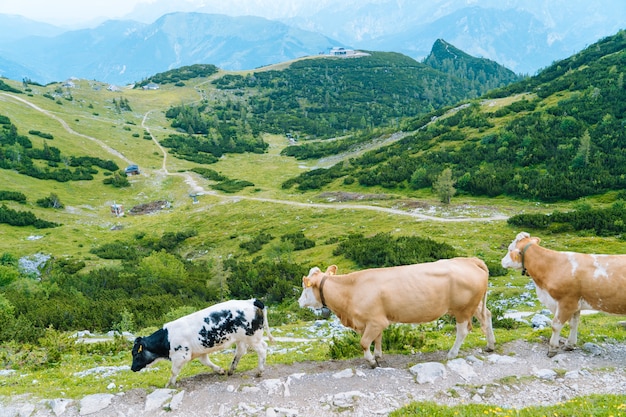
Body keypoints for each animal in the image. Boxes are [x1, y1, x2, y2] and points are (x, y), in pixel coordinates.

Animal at [130, 298, 272, 386]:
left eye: (136, 354)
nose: (132, 368)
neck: (167, 339)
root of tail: (251, 301)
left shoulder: (181, 356)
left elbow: (174, 371)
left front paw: (169, 384)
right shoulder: (200, 352)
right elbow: (206, 362)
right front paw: (220, 370)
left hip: (252, 336)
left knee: (262, 348)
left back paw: (259, 371)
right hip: (241, 338)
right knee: (241, 351)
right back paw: (231, 370)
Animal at [294, 256, 494, 368]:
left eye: (305, 287)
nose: (299, 301)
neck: (350, 291)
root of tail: (470, 260)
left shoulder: (376, 321)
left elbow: (364, 342)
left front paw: (371, 362)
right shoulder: (375, 321)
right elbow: (377, 339)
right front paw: (378, 356)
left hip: (462, 309)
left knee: (463, 330)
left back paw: (452, 354)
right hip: (474, 304)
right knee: (487, 316)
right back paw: (490, 345)